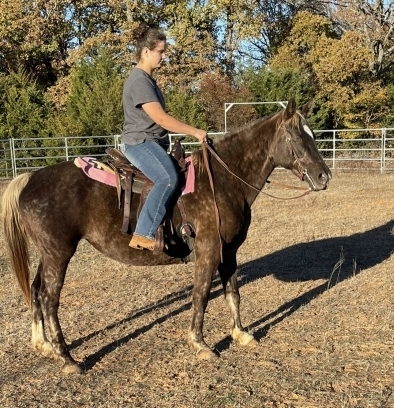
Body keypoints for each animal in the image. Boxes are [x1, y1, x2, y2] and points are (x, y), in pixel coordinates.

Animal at [1, 98, 330, 372]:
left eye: (312, 135)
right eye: (297, 137)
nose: (324, 176)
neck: (223, 181)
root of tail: (29, 178)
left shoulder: (229, 250)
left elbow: (233, 292)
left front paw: (241, 333)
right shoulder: (208, 248)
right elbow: (201, 295)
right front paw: (200, 344)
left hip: (48, 253)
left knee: (35, 289)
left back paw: (43, 345)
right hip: (59, 253)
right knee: (49, 298)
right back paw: (67, 358)